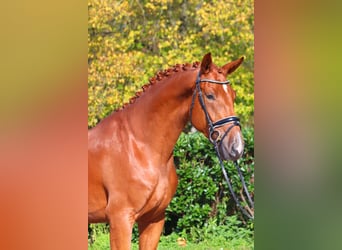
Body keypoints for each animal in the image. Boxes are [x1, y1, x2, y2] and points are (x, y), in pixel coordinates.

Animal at [87, 52, 243, 248]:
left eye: (234, 95)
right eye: (210, 95)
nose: (236, 147)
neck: (139, 145)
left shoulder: (154, 219)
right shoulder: (120, 220)